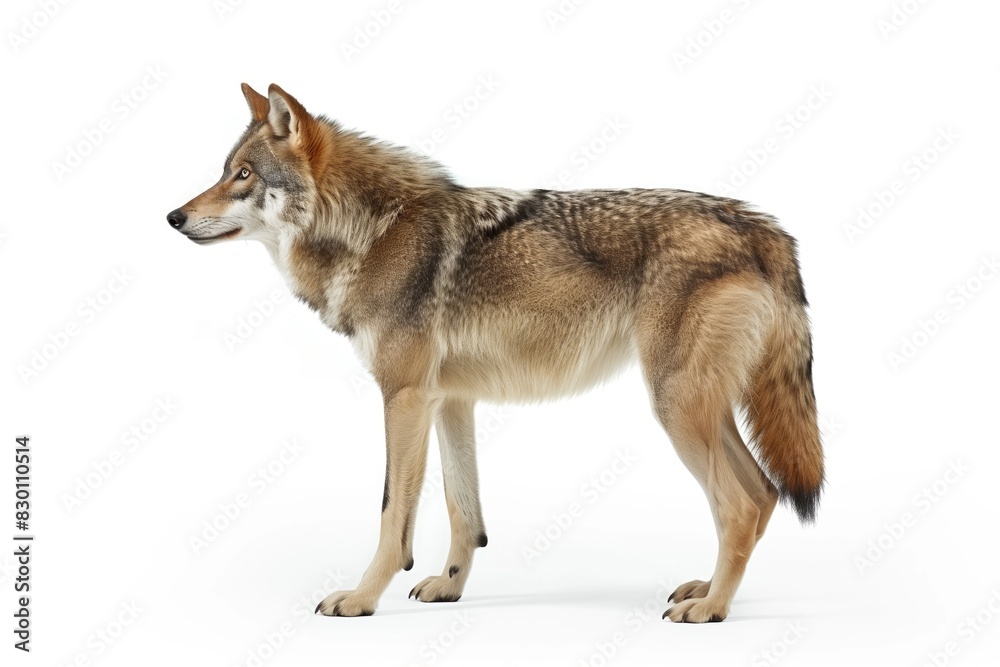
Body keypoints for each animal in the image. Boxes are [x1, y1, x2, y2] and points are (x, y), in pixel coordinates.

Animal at [167, 83, 823, 623]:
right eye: (225, 171)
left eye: (244, 175)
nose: (173, 216)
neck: (373, 233)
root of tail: (762, 225)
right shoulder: (451, 400)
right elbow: (465, 514)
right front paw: (448, 588)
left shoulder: (403, 397)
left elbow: (391, 515)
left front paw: (360, 598)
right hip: (701, 408)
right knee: (764, 494)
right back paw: (708, 590)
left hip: (677, 406)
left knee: (739, 505)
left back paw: (711, 609)